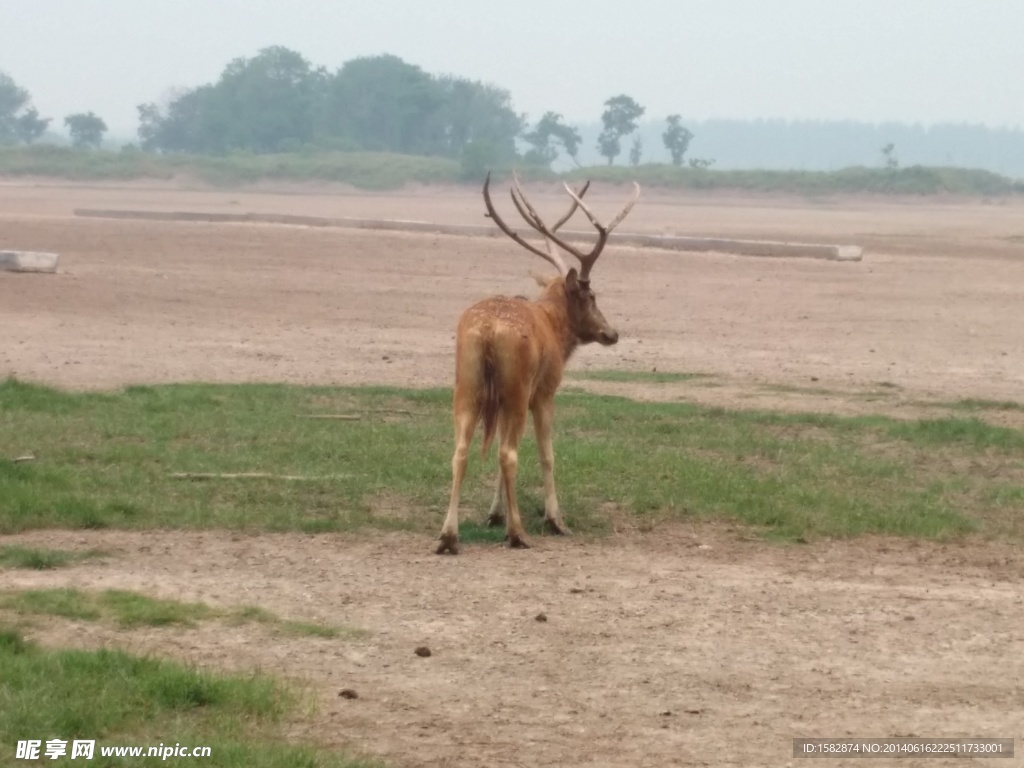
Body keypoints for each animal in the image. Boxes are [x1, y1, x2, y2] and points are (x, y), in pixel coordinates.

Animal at [434, 171, 638, 557]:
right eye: (592, 296)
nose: (612, 332)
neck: (555, 328)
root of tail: (488, 330)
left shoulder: (501, 399)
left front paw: (494, 514)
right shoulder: (544, 392)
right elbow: (547, 454)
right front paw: (555, 520)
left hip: (467, 383)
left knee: (460, 451)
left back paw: (449, 536)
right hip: (516, 386)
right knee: (508, 453)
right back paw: (518, 533)